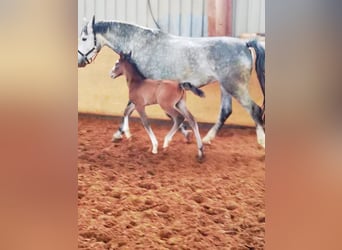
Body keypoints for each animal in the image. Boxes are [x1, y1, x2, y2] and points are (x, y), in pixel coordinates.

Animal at [79, 15, 266, 147]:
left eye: (84, 38)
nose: (79, 62)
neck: (140, 44)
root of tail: (244, 44)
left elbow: (133, 108)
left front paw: (119, 134)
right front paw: (186, 134)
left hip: (235, 86)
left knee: (255, 110)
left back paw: (261, 142)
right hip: (226, 87)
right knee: (226, 111)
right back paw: (207, 139)